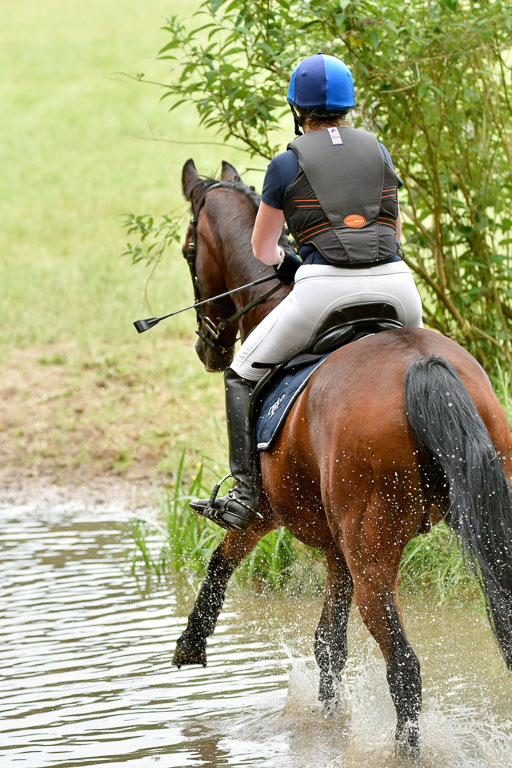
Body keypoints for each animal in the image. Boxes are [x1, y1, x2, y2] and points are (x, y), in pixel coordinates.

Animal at [173, 159, 512, 752]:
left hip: (373, 553)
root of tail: (422, 365)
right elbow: (328, 642)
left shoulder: (266, 512)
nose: (206, 349)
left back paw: (405, 754)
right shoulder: (336, 550)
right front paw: (328, 724)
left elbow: (222, 556)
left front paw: (191, 644)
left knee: (404, 668)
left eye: (191, 250)